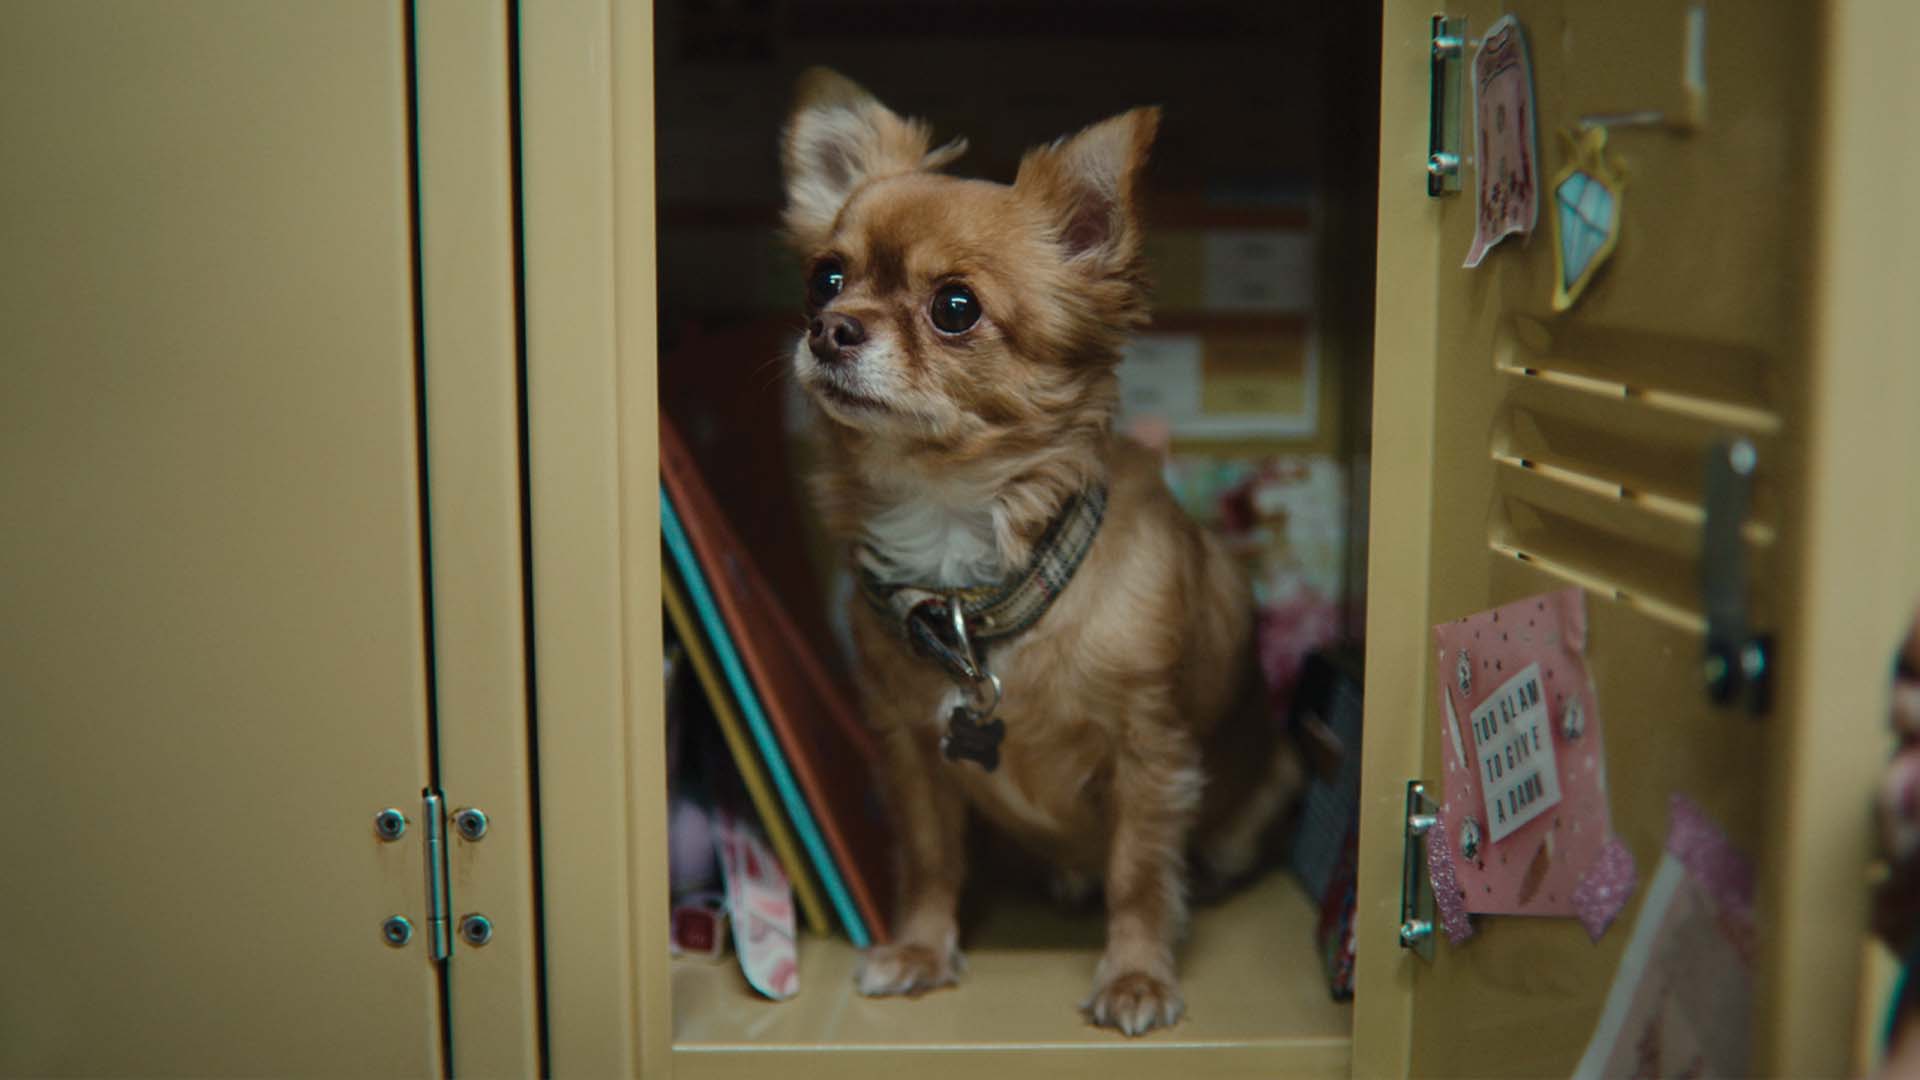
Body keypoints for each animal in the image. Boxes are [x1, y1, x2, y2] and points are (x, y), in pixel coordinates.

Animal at [779, 69, 1305, 1037]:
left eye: (955, 308)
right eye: (825, 277)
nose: (831, 327)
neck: (958, 538)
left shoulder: (1150, 753)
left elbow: (1138, 874)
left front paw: (1136, 975)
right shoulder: (911, 749)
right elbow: (929, 858)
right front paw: (922, 949)